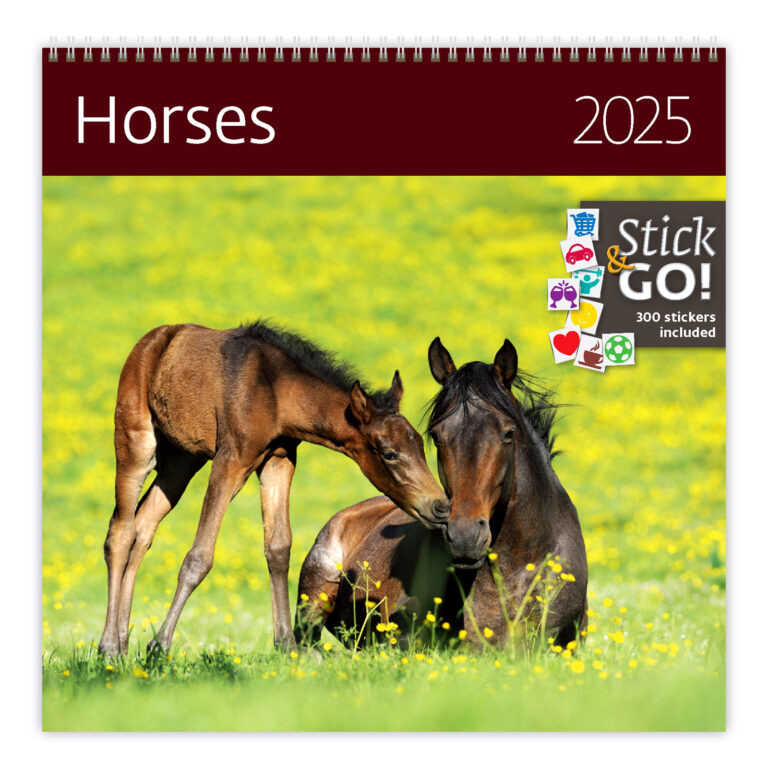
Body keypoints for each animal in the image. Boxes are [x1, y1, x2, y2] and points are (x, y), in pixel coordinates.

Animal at [97, 321, 449, 657]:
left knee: (143, 528)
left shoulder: (279, 460)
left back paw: (123, 643)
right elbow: (199, 556)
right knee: (120, 532)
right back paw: (109, 647)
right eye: (389, 453)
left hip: (180, 461)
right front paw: (160, 645)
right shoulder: (231, 459)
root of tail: (152, 340)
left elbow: (278, 547)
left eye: (422, 443)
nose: (441, 506)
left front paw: (286, 645)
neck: (274, 390)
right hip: (136, 443)